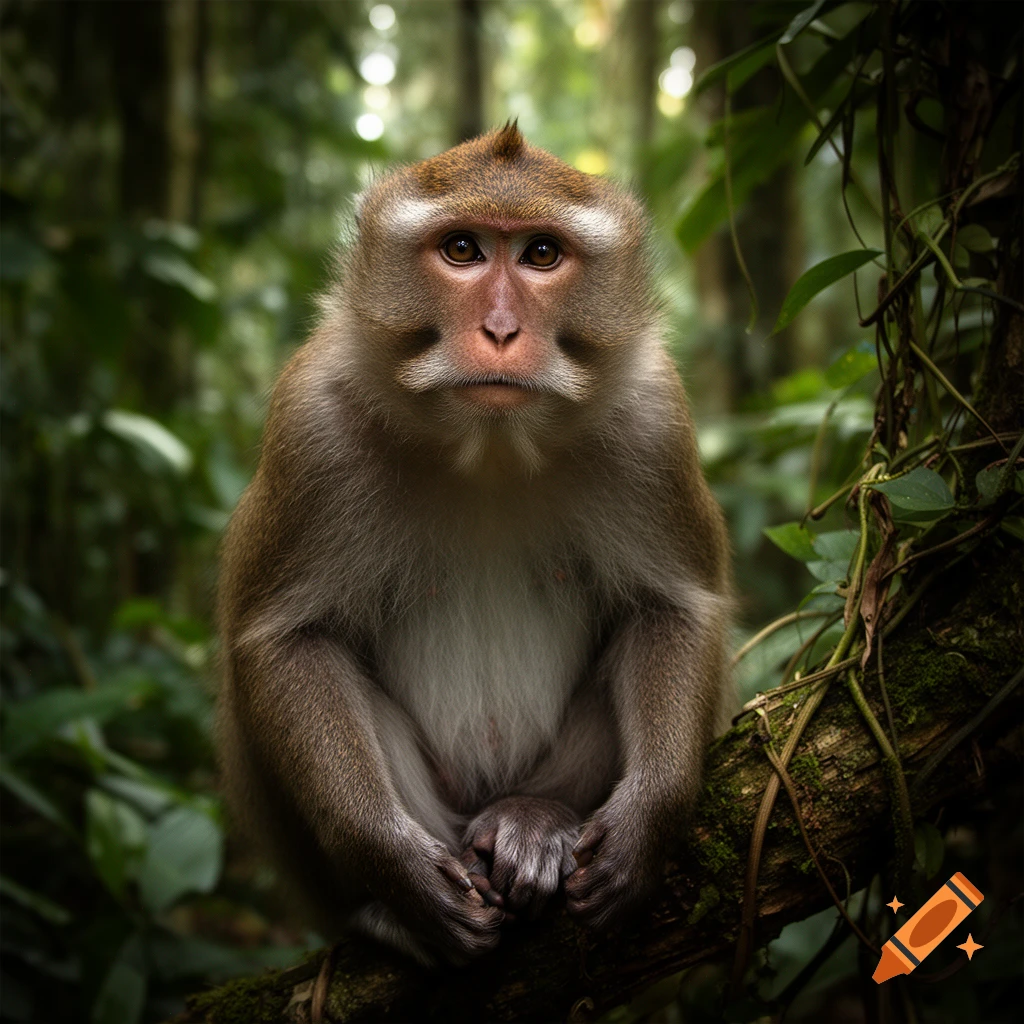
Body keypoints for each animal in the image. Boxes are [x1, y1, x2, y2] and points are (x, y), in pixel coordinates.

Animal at [216, 122, 732, 966]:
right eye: (461, 249)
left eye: (542, 254)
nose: (499, 332)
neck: (489, 450)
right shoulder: (312, 425)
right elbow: (288, 640)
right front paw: (393, 866)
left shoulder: (654, 420)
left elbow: (669, 608)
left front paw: (648, 820)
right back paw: (385, 913)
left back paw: (533, 822)